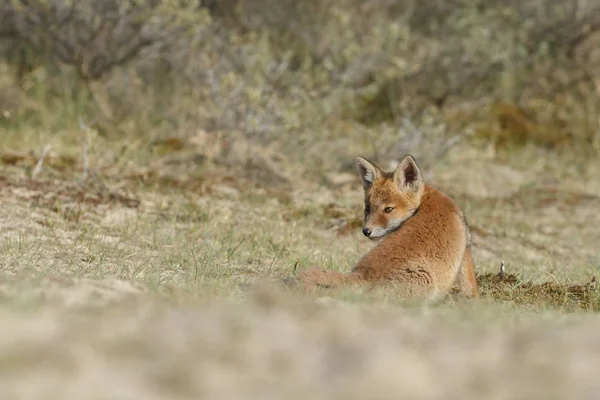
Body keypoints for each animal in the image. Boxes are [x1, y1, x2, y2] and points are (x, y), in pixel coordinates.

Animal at [294, 155, 478, 302]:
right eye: (368, 208)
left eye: (388, 209)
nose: (366, 231)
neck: (426, 199)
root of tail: (362, 273)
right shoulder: (465, 252)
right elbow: (471, 286)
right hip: (424, 282)